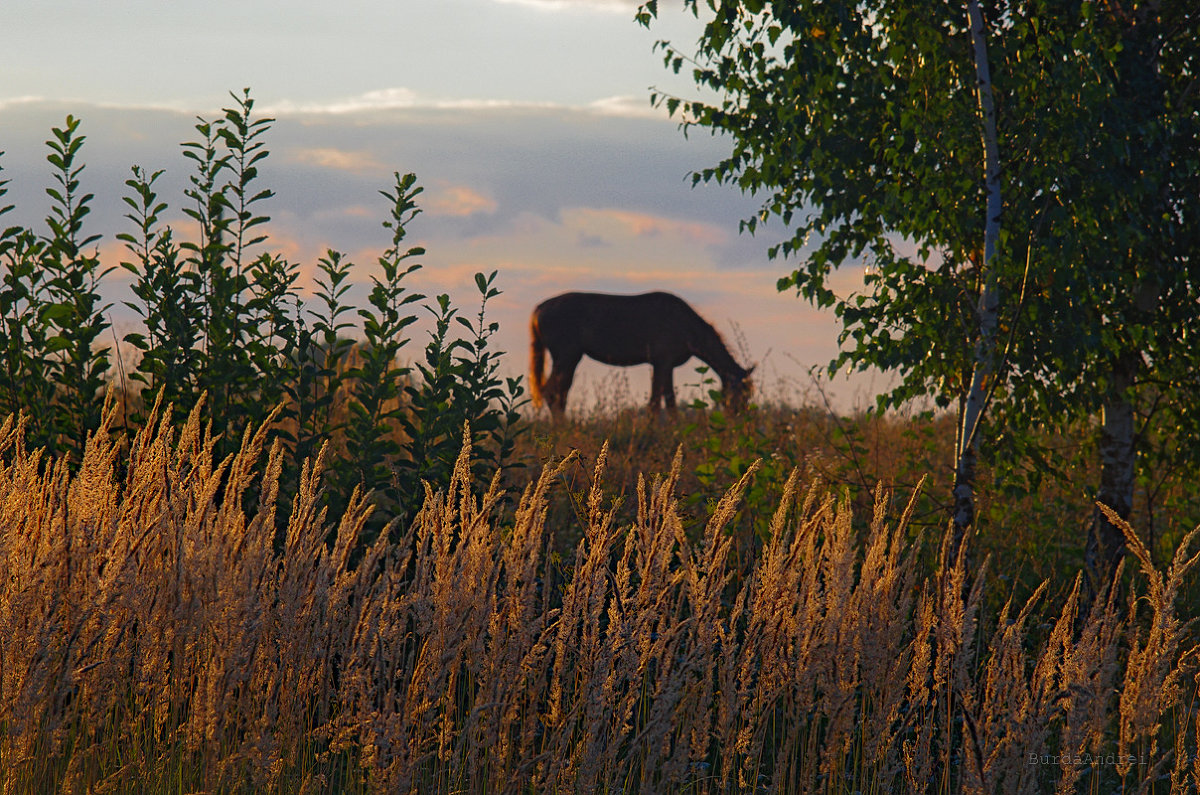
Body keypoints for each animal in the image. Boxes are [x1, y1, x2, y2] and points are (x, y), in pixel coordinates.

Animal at [530, 293, 753, 417]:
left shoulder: (664, 366)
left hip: (568, 359)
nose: (738, 419)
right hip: (566, 357)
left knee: (560, 393)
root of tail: (539, 308)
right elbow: (660, 401)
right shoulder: (663, 363)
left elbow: (665, 401)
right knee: (552, 392)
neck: (685, 324)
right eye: (740, 394)